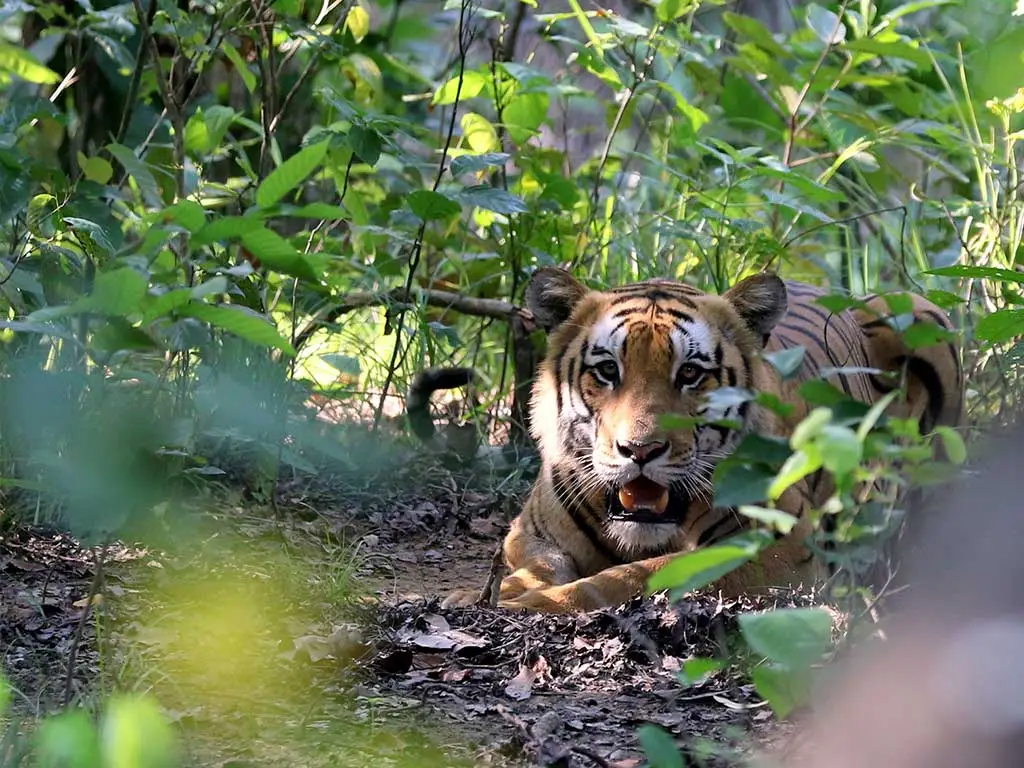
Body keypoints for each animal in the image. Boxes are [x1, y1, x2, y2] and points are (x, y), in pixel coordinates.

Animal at [415, 268, 958, 618]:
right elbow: (537, 565)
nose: (640, 451)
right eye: (607, 370)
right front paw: (478, 595)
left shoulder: (777, 550)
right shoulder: (529, 532)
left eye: (691, 374)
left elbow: (638, 575)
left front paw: (528, 602)